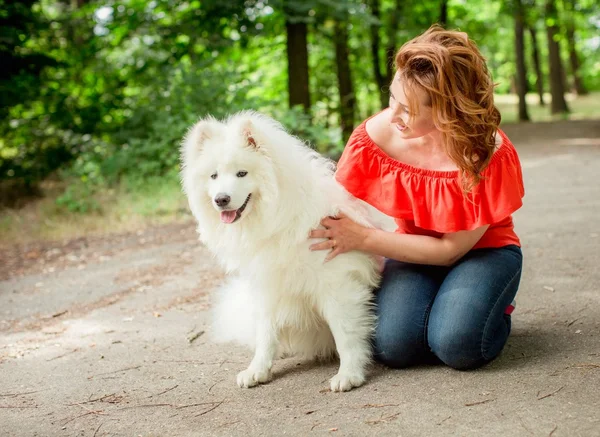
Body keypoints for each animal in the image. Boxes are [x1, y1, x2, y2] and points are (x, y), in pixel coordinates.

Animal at [180, 110, 386, 390]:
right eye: (214, 176)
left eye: (242, 173)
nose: (221, 199)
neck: (277, 218)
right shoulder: (268, 284)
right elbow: (266, 332)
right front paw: (258, 369)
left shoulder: (336, 282)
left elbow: (345, 332)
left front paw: (349, 374)